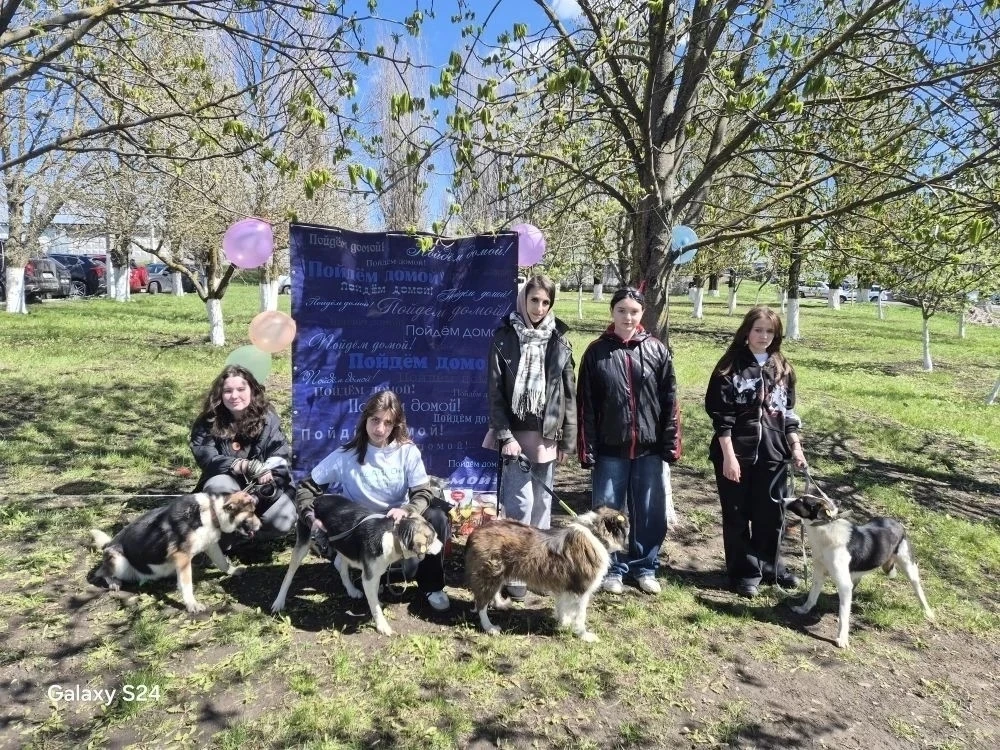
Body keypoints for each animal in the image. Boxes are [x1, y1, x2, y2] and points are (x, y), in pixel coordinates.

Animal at [90, 491, 261, 613]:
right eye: (252, 513)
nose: (261, 525)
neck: (211, 511)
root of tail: (108, 544)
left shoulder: (211, 545)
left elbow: (223, 563)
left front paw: (233, 570)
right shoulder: (183, 556)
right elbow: (186, 584)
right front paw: (192, 604)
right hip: (119, 562)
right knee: (101, 572)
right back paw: (113, 582)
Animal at [270, 495, 443, 636]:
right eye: (433, 538)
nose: (442, 546)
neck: (393, 536)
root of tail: (317, 498)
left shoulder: (375, 573)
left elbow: (374, 596)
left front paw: (376, 602)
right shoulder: (369, 577)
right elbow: (375, 607)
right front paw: (382, 626)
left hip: (343, 544)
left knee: (340, 565)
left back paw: (352, 590)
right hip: (303, 544)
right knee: (289, 575)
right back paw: (279, 602)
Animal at [464, 506, 630, 642]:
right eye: (627, 527)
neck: (595, 534)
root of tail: (476, 531)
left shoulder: (565, 587)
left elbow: (563, 607)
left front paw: (564, 623)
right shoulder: (581, 590)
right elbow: (580, 615)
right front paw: (583, 635)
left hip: (499, 573)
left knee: (492, 593)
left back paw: (500, 604)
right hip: (490, 573)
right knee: (481, 604)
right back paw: (489, 627)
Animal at [783, 494, 934, 648]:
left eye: (801, 501)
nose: (782, 500)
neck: (825, 529)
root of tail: (897, 523)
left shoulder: (843, 584)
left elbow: (844, 616)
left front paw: (842, 638)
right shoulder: (819, 574)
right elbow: (812, 597)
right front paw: (803, 610)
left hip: (909, 566)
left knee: (918, 589)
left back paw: (927, 611)